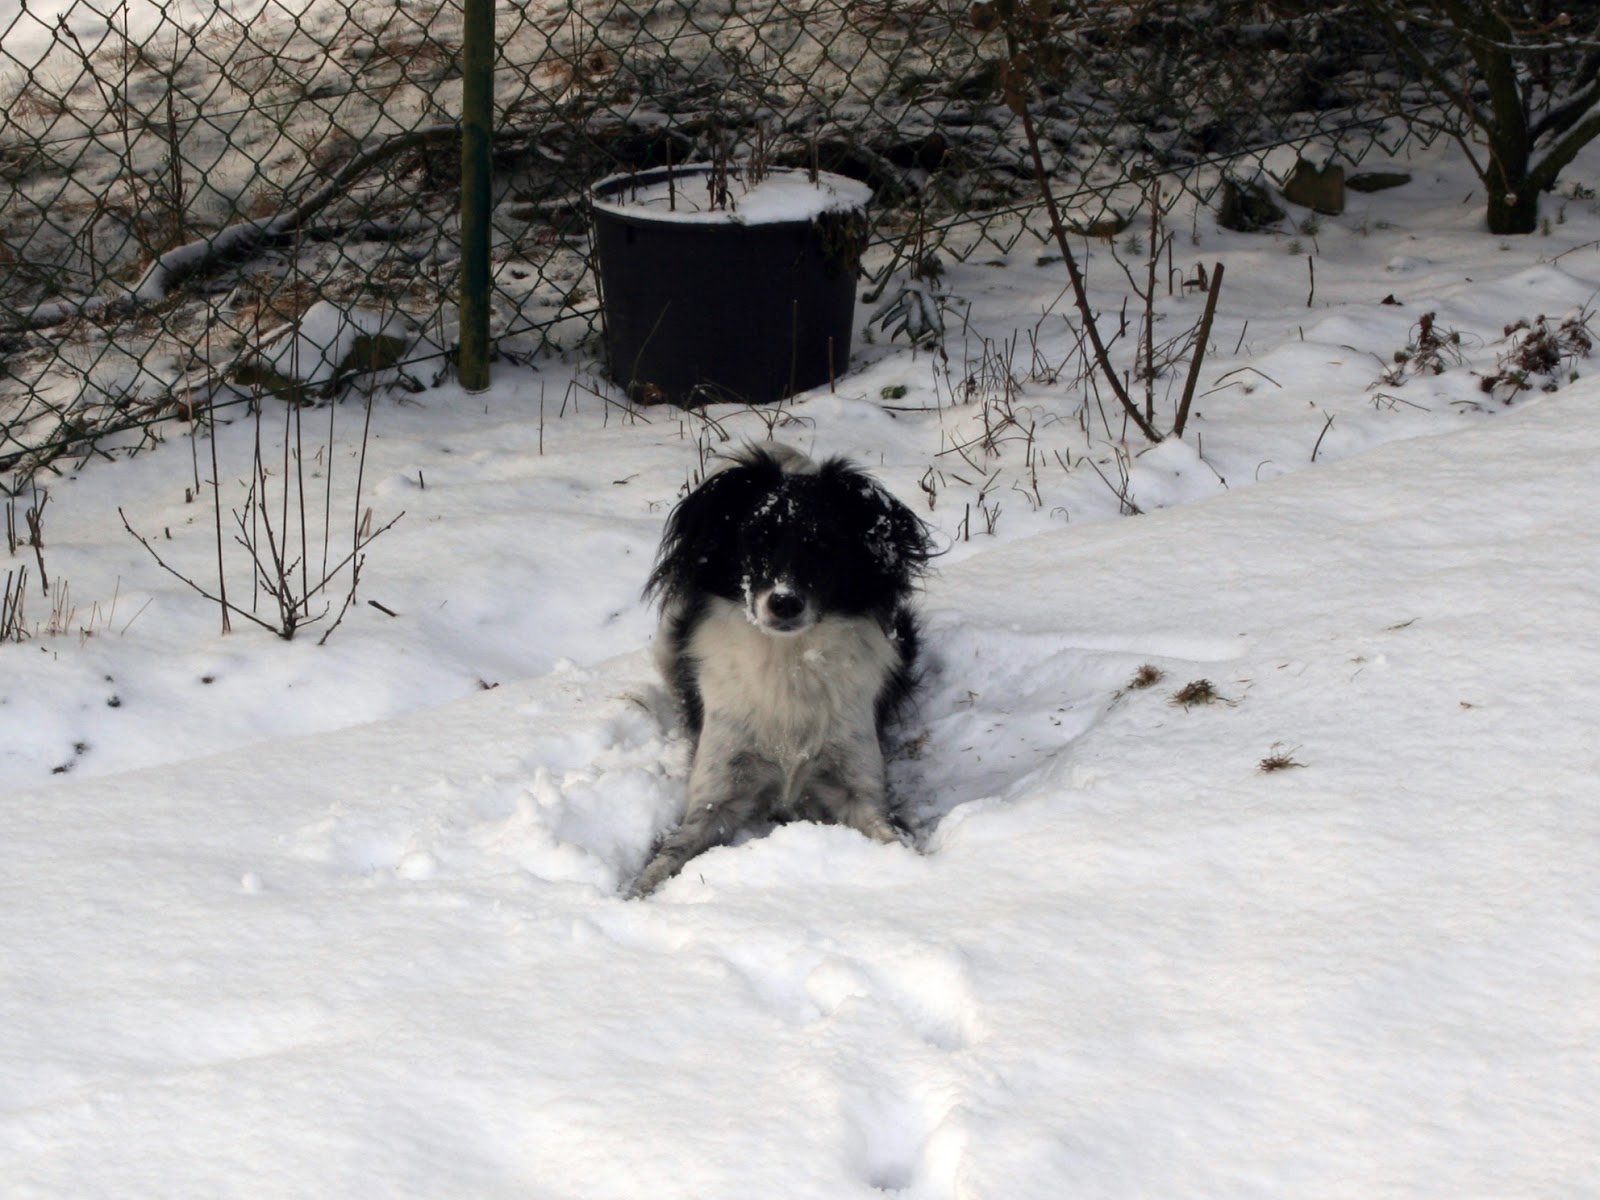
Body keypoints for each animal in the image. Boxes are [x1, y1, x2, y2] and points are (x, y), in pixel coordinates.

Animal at [629, 442, 933, 897]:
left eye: (823, 543)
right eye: (757, 538)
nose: (785, 602)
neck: (789, 662)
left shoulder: (857, 787)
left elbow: (888, 834)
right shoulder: (717, 794)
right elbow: (668, 855)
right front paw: (633, 894)